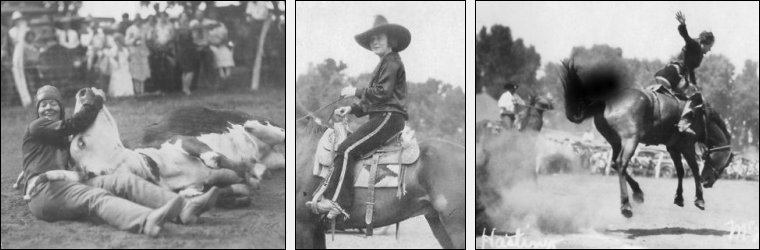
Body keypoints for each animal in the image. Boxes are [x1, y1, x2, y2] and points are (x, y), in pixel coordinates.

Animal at [560, 61, 732, 218]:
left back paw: (638, 192)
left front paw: (679, 198)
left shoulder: (673, 147)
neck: (701, 119)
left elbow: (680, 170)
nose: (708, 181)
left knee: (615, 163)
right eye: (727, 162)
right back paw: (626, 206)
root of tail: (606, 102)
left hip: (616, 142)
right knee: (621, 163)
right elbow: (694, 169)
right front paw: (700, 200)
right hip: (631, 140)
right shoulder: (687, 146)